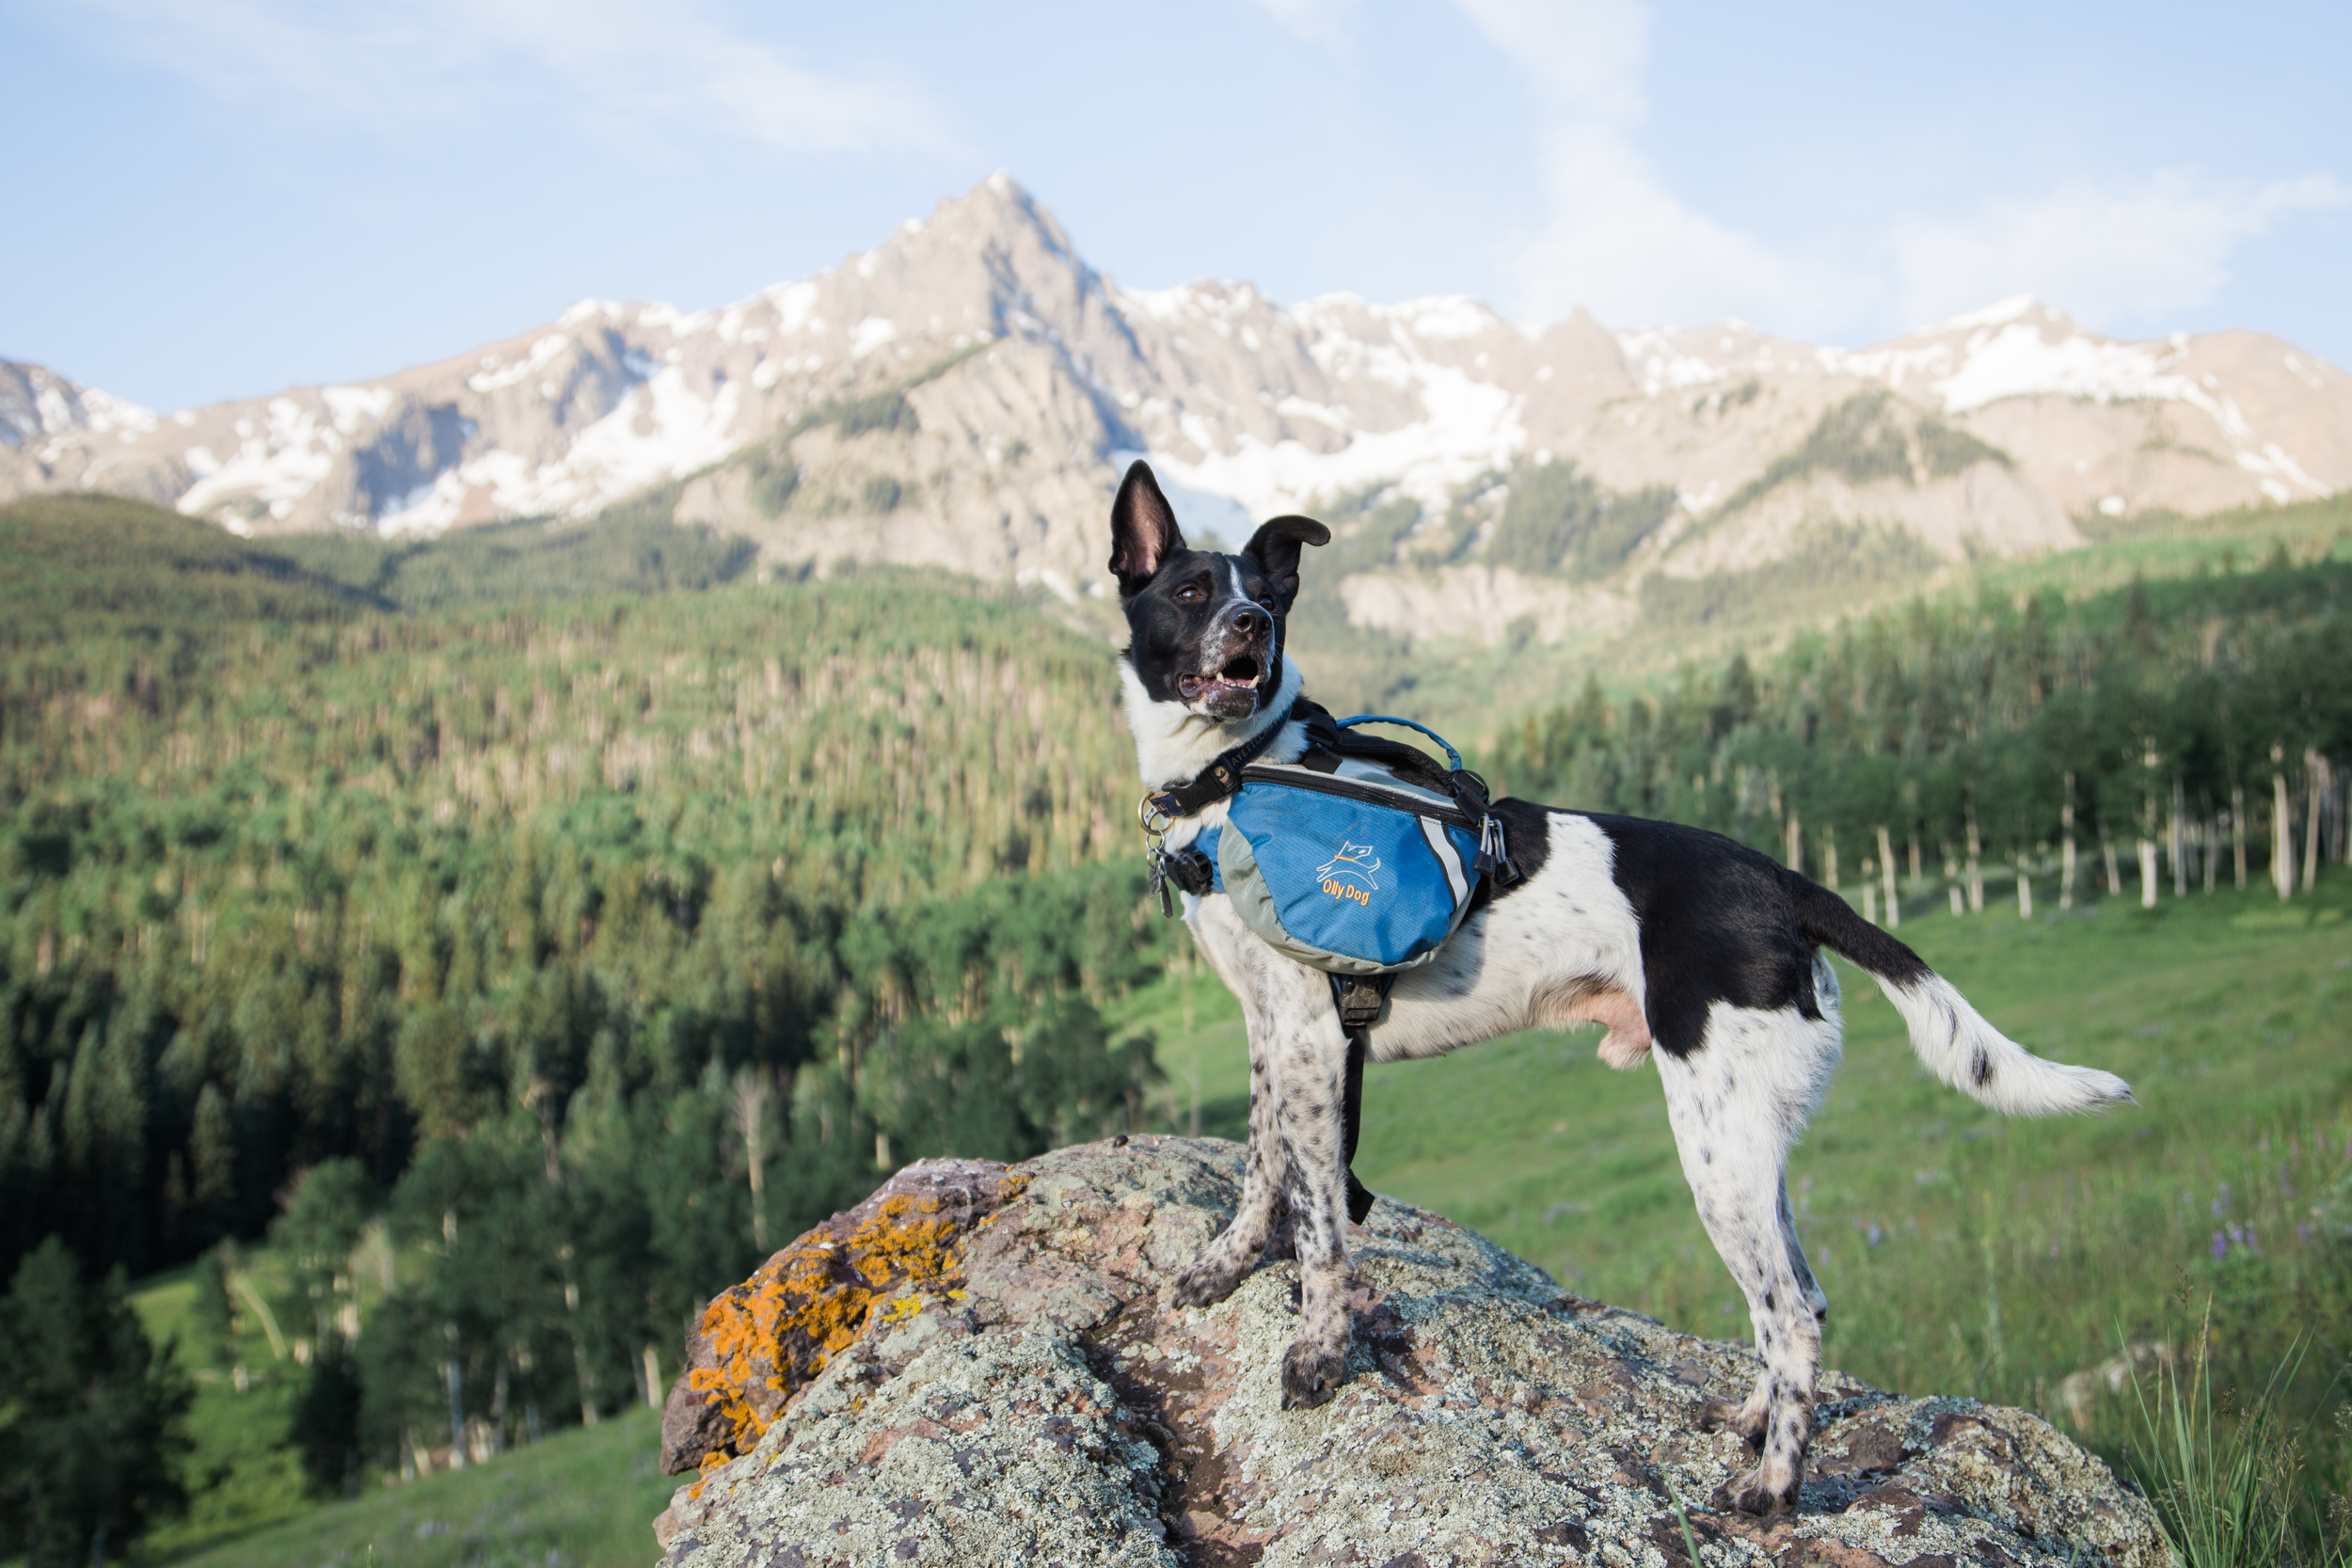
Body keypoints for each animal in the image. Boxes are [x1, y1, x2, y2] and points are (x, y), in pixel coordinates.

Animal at [1101, 460, 2136, 1513]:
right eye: (1193, 591)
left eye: (1265, 601)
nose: (1250, 629)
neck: (1240, 771)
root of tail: (1785, 881)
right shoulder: (1272, 1035)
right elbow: (1262, 1168)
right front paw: (1225, 1266)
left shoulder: (1312, 1038)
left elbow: (1317, 1224)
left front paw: (1315, 1348)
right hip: (1751, 1142)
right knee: (1799, 1294)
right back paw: (1754, 1422)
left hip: (1715, 1146)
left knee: (1791, 1313)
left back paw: (1773, 1483)